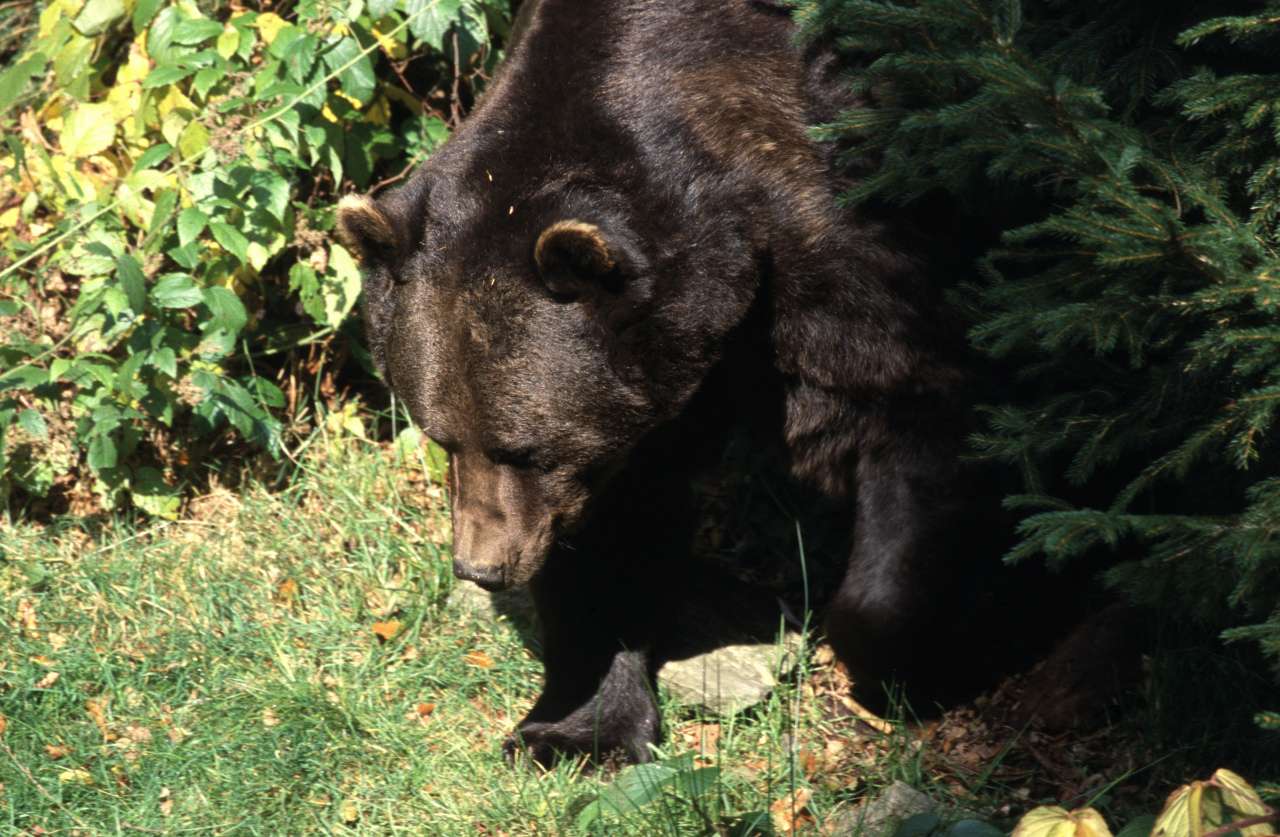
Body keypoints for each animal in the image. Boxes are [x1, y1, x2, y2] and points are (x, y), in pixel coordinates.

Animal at [337, 0, 1018, 767]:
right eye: (441, 436)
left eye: (526, 448)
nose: (482, 567)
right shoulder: (650, 392)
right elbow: (618, 527)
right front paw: (575, 726)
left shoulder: (842, 247)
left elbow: (916, 410)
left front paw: (937, 660)